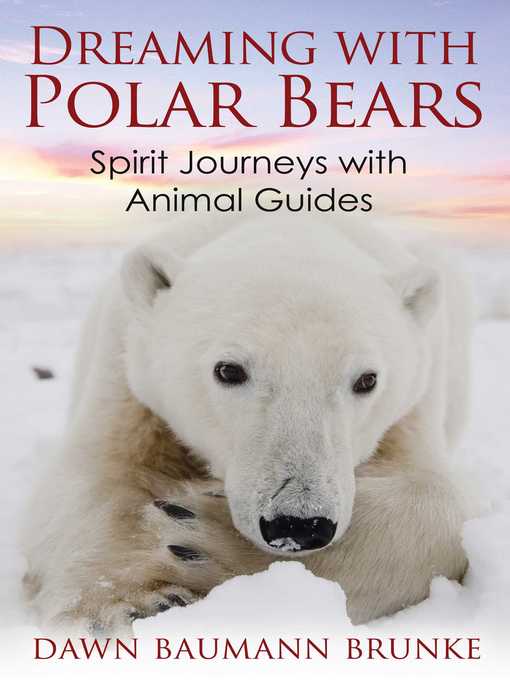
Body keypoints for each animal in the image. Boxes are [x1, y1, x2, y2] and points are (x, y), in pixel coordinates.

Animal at [22, 214, 472, 631]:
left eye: (367, 379)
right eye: (228, 370)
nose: (298, 524)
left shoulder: (415, 402)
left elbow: (434, 501)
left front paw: (196, 538)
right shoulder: (126, 370)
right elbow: (92, 475)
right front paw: (121, 601)